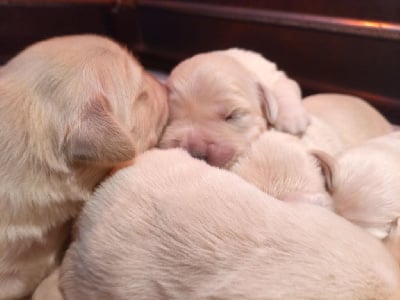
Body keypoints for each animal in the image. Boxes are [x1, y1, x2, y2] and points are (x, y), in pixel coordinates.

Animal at [159, 48, 310, 168]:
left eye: (233, 115)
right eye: (170, 119)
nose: (196, 152)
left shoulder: (274, 76)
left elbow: (286, 86)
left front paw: (292, 120)